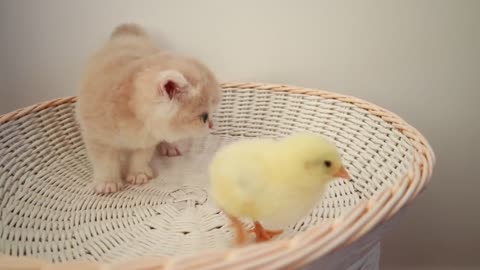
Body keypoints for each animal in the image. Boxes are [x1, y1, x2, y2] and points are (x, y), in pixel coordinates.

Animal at [77, 23, 221, 194]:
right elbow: (105, 163)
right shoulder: (98, 139)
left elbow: (140, 158)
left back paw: (169, 147)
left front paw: (138, 173)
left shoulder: (147, 141)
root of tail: (127, 33)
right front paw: (108, 182)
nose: (211, 125)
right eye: (204, 117)